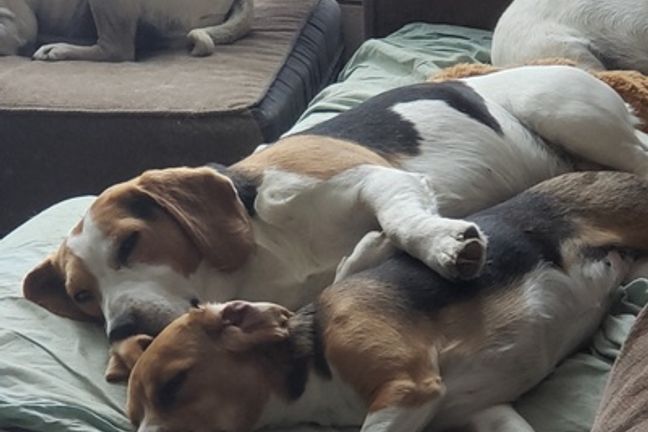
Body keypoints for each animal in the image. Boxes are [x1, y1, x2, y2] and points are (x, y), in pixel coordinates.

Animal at [23, 66, 648, 359]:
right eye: (83, 296)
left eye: (130, 243)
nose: (122, 330)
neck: (261, 258)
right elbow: (346, 272)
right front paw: (371, 251)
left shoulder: (379, 178)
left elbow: (403, 219)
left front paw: (443, 247)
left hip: (572, 117)